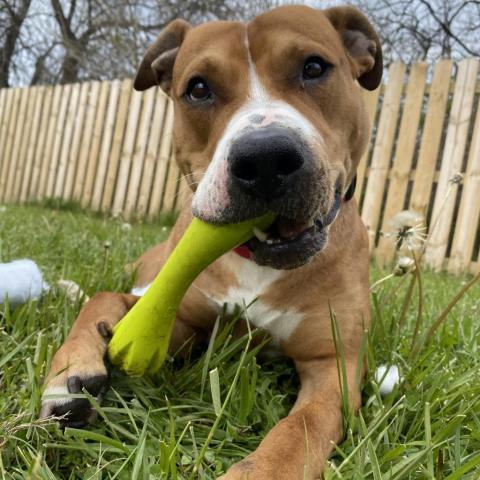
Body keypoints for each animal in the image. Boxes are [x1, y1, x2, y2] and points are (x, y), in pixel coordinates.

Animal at [39, 5, 380, 478]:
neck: (260, 263)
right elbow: (103, 300)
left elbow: (303, 426)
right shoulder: (177, 322)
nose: (265, 158)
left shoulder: (336, 364)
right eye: (198, 88)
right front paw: (72, 373)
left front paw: (264, 468)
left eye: (314, 67)